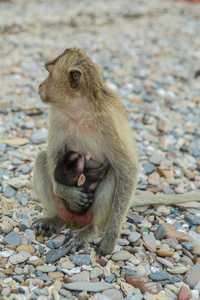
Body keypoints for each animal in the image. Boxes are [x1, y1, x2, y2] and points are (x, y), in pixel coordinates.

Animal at [33, 48, 200, 254]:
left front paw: (110, 238)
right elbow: (54, 155)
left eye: (48, 74)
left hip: (99, 215)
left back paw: (92, 229)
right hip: (65, 209)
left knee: (113, 173)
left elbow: (127, 170)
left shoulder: (108, 120)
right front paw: (67, 192)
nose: (40, 85)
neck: (80, 110)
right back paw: (56, 218)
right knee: (42, 158)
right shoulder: (57, 114)